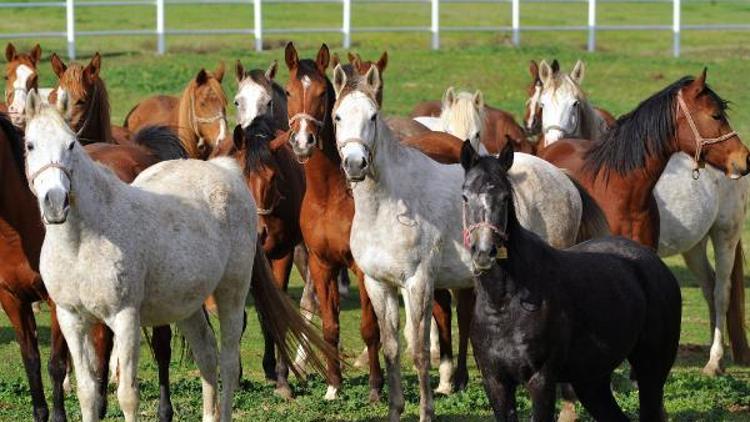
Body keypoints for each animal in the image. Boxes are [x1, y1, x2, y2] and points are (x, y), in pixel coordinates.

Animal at [22, 94, 338, 420]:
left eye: (72, 144)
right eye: (30, 144)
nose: (55, 201)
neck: (82, 241)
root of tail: (226, 170)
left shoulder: (125, 318)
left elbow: (127, 395)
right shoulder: (71, 319)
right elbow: (87, 392)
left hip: (232, 292)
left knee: (227, 362)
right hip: (186, 304)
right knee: (207, 354)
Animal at [332, 62, 604, 422]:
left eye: (373, 116)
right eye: (337, 116)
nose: (355, 163)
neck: (389, 204)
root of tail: (563, 178)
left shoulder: (418, 283)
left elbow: (419, 351)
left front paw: (427, 412)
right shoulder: (379, 284)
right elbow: (392, 350)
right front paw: (395, 410)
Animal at [462, 140, 684, 420]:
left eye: (505, 197)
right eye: (465, 196)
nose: (484, 251)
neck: (505, 302)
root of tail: (656, 265)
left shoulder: (541, 381)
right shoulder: (496, 383)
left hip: (651, 372)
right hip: (591, 381)